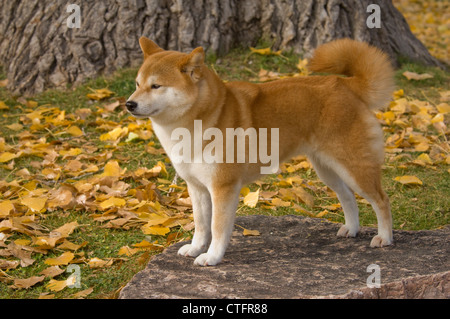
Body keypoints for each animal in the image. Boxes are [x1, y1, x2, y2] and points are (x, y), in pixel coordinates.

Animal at [125, 37, 394, 268]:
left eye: (156, 86)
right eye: (137, 84)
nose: (129, 104)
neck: (200, 120)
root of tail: (345, 85)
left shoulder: (223, 187)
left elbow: (218, 227)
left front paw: (211, 257)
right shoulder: (197, 187)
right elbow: (201, 225)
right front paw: (195, 248)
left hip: (354, 167)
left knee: (381, 200)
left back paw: (384, 237)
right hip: (327, 169)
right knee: (348, 197)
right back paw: (352, 228)